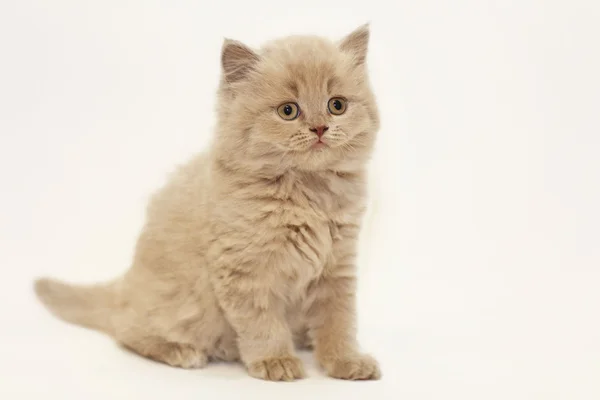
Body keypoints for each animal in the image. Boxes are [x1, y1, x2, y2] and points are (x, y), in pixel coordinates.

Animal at [35, 25, 380, 382]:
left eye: (336, 105)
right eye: (288, 111)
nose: (320, 128)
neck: (308, 192)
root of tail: (123, 286)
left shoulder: (337, 265)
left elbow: (338, 321)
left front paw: (346, 361)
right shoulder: (245, 270)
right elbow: (263, 323)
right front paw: (276, 361)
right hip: (180, 307)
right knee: (127, 330)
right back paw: (182, 352)